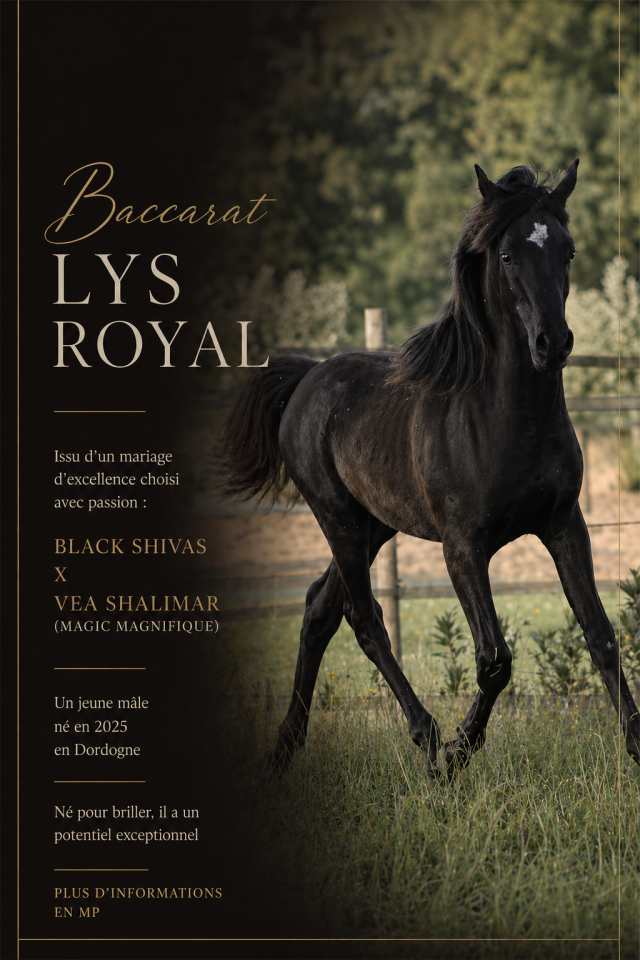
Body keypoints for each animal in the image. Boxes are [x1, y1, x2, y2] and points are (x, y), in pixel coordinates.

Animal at [221, 161, 640, 780]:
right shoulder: (462, 544)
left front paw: (637, 744)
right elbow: (495, 659)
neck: (505, 417)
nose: (553, 343)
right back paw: (426, 738)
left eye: (567, 250)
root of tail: (307, 378)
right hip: (338, 519)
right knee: (363, 617)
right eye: (508, 255)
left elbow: (602, 635)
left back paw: (284, 748)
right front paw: (459, 751)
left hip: (374, 525)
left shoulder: (566, 524)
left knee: (320, 608)